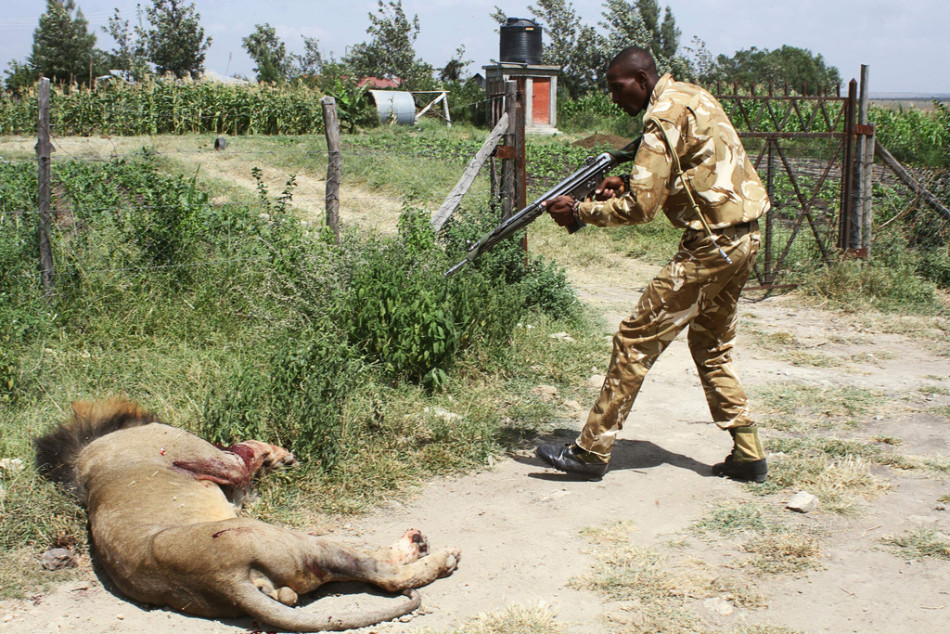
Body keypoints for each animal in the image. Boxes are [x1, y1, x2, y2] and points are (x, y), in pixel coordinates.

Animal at [33, 398, 458, 628]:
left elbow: (244, 474)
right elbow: (245, 449)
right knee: (384, 574)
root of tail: (224, 581)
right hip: (287, 538)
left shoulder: (232, 491)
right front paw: (278, 454)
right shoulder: (214, 458)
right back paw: (433, 554)